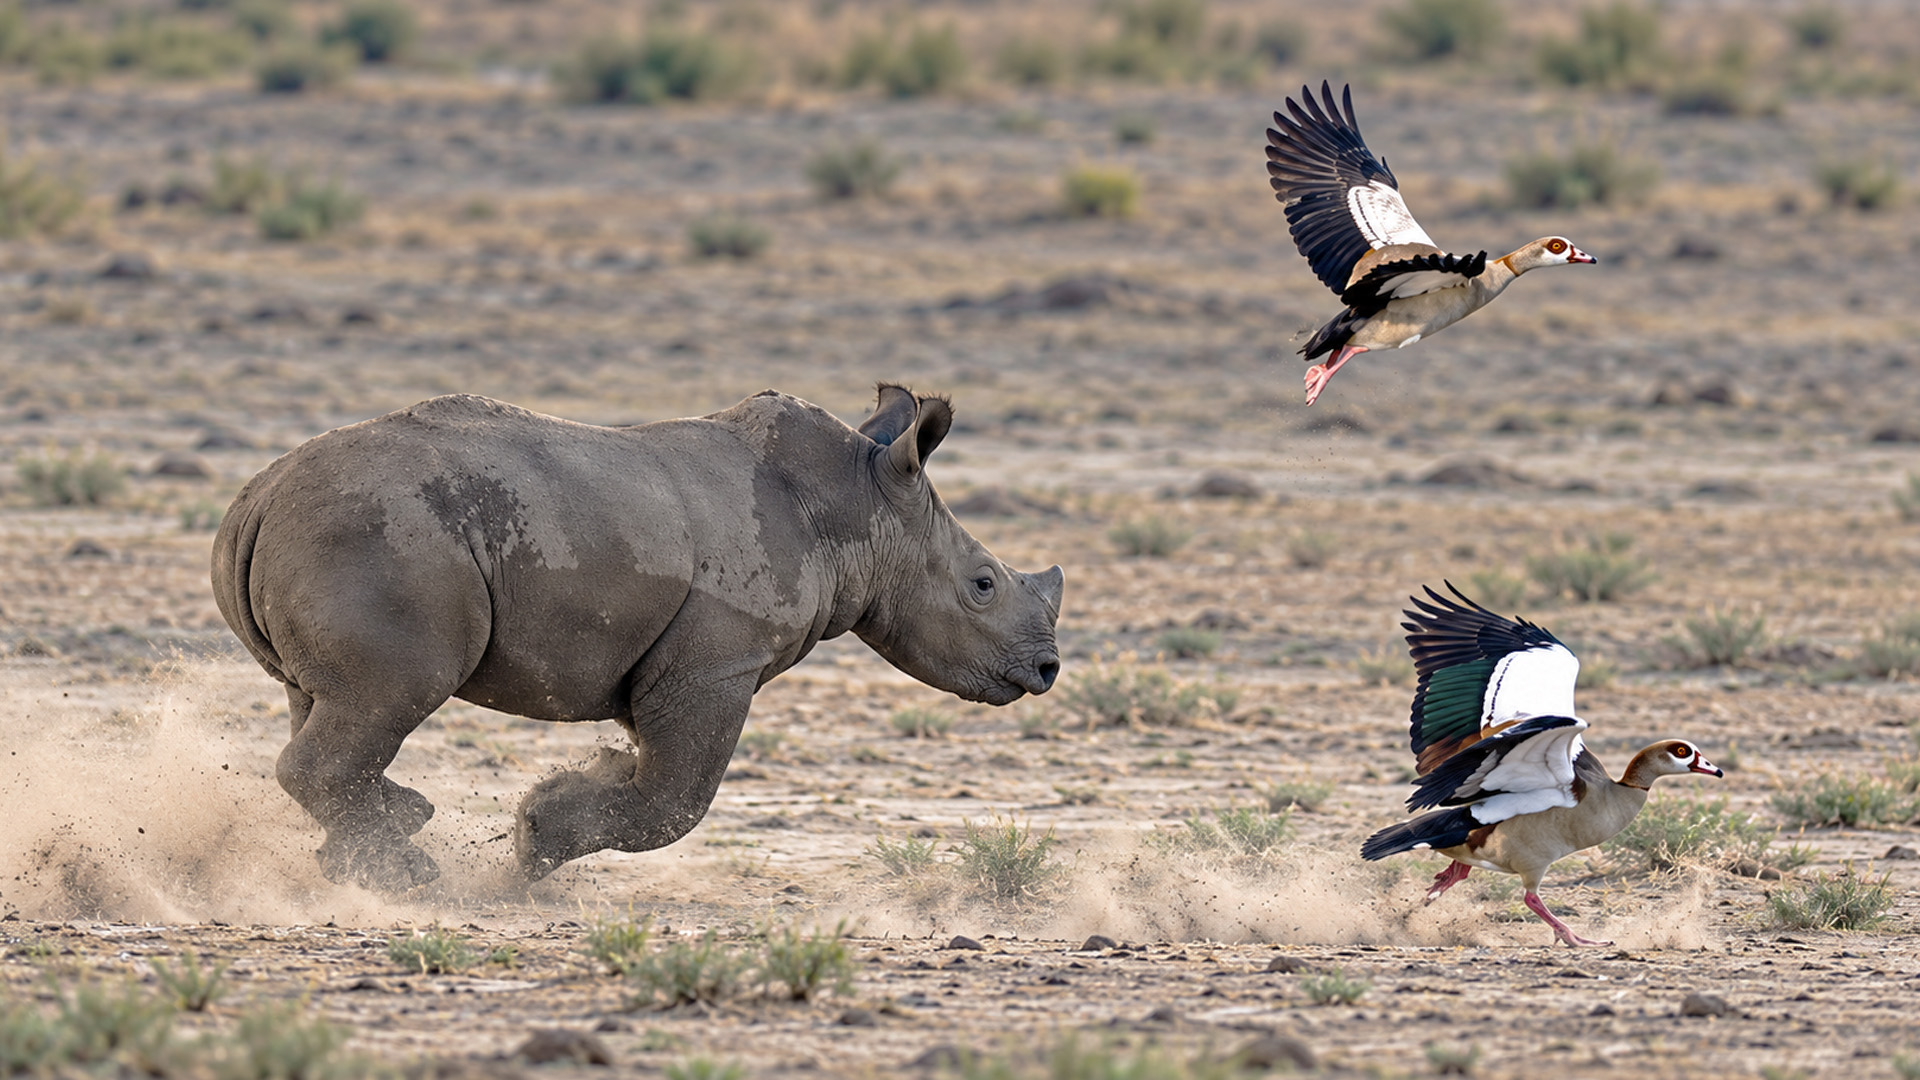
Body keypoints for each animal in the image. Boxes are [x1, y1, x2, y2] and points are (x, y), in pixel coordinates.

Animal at [210, 385, 1063, 889]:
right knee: (386, 699)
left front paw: (570, 794)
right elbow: (676, 802)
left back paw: (376, 849)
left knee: (326, 701)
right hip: (380, 537)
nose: (1049, 668)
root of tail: (258, 497)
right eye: (983, 585)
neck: (857, 505)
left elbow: (657, 783)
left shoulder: (676, 664)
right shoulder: (719, 663)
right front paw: (537, 836)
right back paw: (409, 870)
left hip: (347, 536)